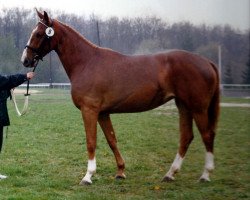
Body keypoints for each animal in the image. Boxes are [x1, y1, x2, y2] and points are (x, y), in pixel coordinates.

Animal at [22, 10, 220, 185]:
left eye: (39, 33)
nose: (25, 60)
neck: (86, 62)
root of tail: (206, 62)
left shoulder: (89, 111)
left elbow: (91, 142)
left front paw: (88, 176)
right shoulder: (103, 113)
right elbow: (112, 140)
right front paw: (120, 172)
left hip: (198, 108)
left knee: (207, 135)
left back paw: (205, 175)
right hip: (184, 106)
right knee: (186, 137)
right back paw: (170, 174)